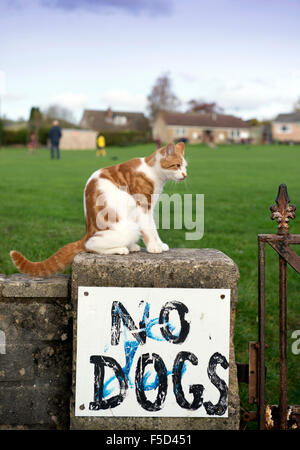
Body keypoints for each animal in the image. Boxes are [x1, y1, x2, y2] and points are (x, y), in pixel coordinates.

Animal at [11, 141, 188, 276]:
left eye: (185, 167)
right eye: (177, 165)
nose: (185, 175)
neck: (152, 172)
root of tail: (87, 233)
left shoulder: (149, 209)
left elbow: (153, 228)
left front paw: (160, 244)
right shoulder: (143, 208)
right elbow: (149, 230)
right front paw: (154, 247)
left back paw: (132, 246)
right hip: (127, 228)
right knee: (91, 246)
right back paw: (121, 249)